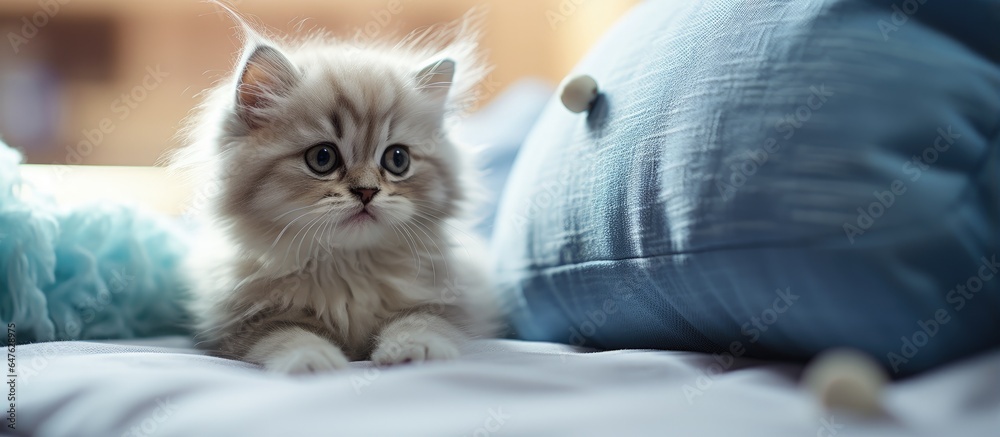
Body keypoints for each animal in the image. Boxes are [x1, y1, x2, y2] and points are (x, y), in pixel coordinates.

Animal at [176, 11, 500, 372]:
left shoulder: (452, 305)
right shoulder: (245, 326)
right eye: (322, 158)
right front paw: (313, 360)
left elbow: (421, 320)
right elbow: (288, 334)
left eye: (397, 160)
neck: (347, 268)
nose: (367, 191)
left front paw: (414, 350)